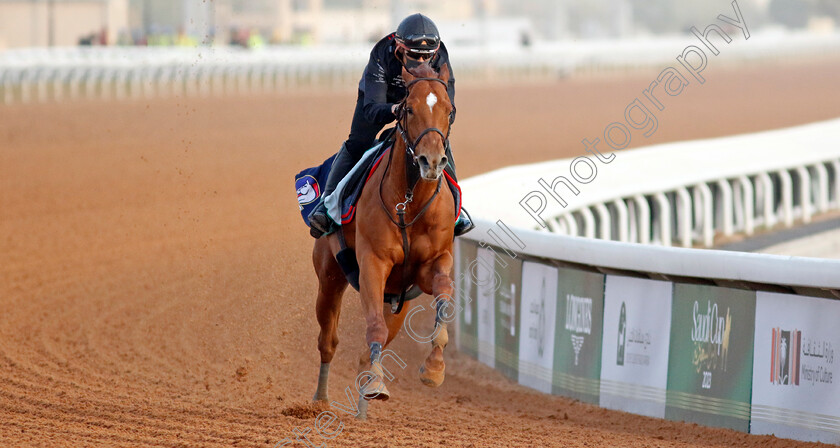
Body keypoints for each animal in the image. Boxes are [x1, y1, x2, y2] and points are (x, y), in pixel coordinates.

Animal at [312, 64, 456, 416]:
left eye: (449, 110)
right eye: (409, 108)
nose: (432, 161)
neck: (409, 203)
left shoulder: (431, 265)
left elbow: (444, 292)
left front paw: (434, 368)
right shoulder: (372, 264)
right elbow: (372, 326)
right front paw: (377, 384)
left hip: (399, 303)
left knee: (368, 350)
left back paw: (363, 404)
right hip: (330, 278)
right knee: (328, 342)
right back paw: (321, 400)